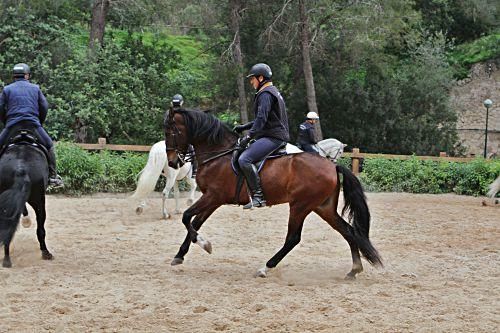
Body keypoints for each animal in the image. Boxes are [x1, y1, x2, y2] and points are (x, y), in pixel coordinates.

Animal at [165, 109, 382, 278]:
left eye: (172, 131)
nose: (173, 162)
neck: (219, 154)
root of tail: (332, 166)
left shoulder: (213, 196)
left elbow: (187, 218)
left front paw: (205, 244)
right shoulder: (212, 199)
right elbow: (194, 222)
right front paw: (180, 255)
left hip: (300, 206)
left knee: (293, 238)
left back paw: (265, 268)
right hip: (323, 207)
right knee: (348, 231)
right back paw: (354, 269)